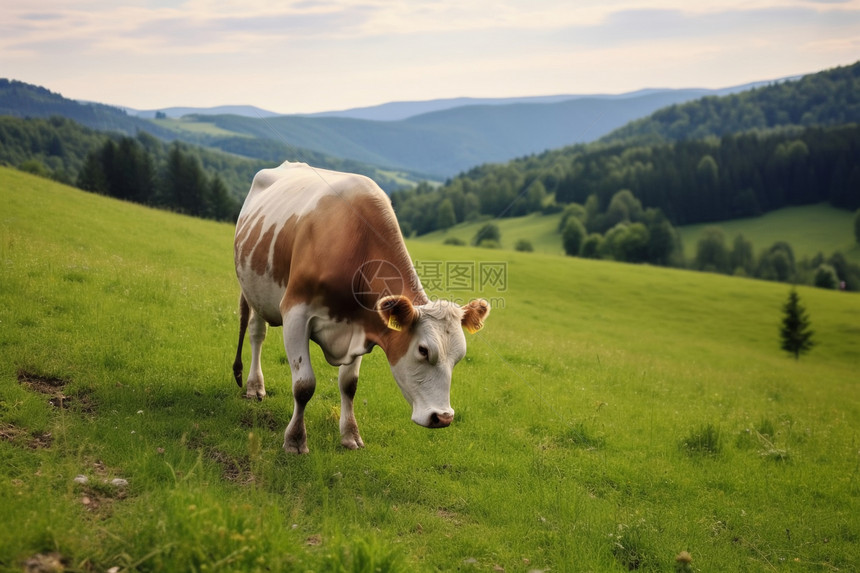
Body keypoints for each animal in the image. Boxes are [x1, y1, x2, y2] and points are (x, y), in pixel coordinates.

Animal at [232, 161, 490, 452]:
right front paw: (295, 440)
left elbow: (349, 385)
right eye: (423, 350)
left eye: (459, 356)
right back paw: (254, 386)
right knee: (256, 333)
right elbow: (304, 385)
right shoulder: (295, 311)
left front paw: (350, 435)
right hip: (253, 289)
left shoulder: (360, 324)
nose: (443, 417)